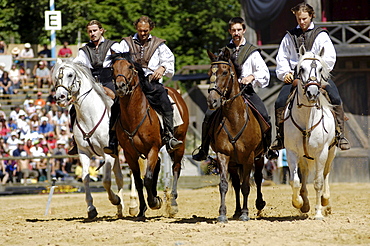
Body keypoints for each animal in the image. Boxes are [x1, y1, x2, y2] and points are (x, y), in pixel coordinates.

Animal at [52, 59, 138, 219]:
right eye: (56, 77)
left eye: (70, 74)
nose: (60, 97)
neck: (90, 116)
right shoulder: (84, 152)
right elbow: (85, 177)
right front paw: (91, 209)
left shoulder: (107, 153)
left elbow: (106, 181)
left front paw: (115, 199)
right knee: (120, 177)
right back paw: (120, 209)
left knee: (133, 173)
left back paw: (133, 206)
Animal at [110, 51, 189, 219]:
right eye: (113, 68)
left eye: (130, 67)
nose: (120, 86)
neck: (135, 115)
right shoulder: (130, 154)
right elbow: (139, 181)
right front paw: (141, 209)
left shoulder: (152, 149)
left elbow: (147, 178)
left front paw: (154, 202)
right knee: (158, 165)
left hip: (180, 143)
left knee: (176, 168)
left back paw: (173, 203)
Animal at [208, 49, 266, 223]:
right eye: (209, 73)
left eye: (225, 72)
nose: (212, 101)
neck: (235, 120)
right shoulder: (223, 155)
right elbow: (224, 185)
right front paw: (222, 214)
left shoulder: (249, 156)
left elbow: (246, 185)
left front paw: (246, 214)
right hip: (234, 163)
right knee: (235, 184)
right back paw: (236, 211)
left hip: (259, 157)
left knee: (258, 178)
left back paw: (258, 204)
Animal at [284, 47, 338, 220]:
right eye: (301, 68)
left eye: (320, 69)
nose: (312, 93)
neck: (307, 119)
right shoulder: (292, 152)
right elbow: (294, 181)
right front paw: (299, 203)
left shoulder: (321, 152)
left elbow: (318, 182)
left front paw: (319, 213)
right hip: (304, 156)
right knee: (305, 173)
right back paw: (305, 202)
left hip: (331, 152)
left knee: (326, 174)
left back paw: (326, 200)